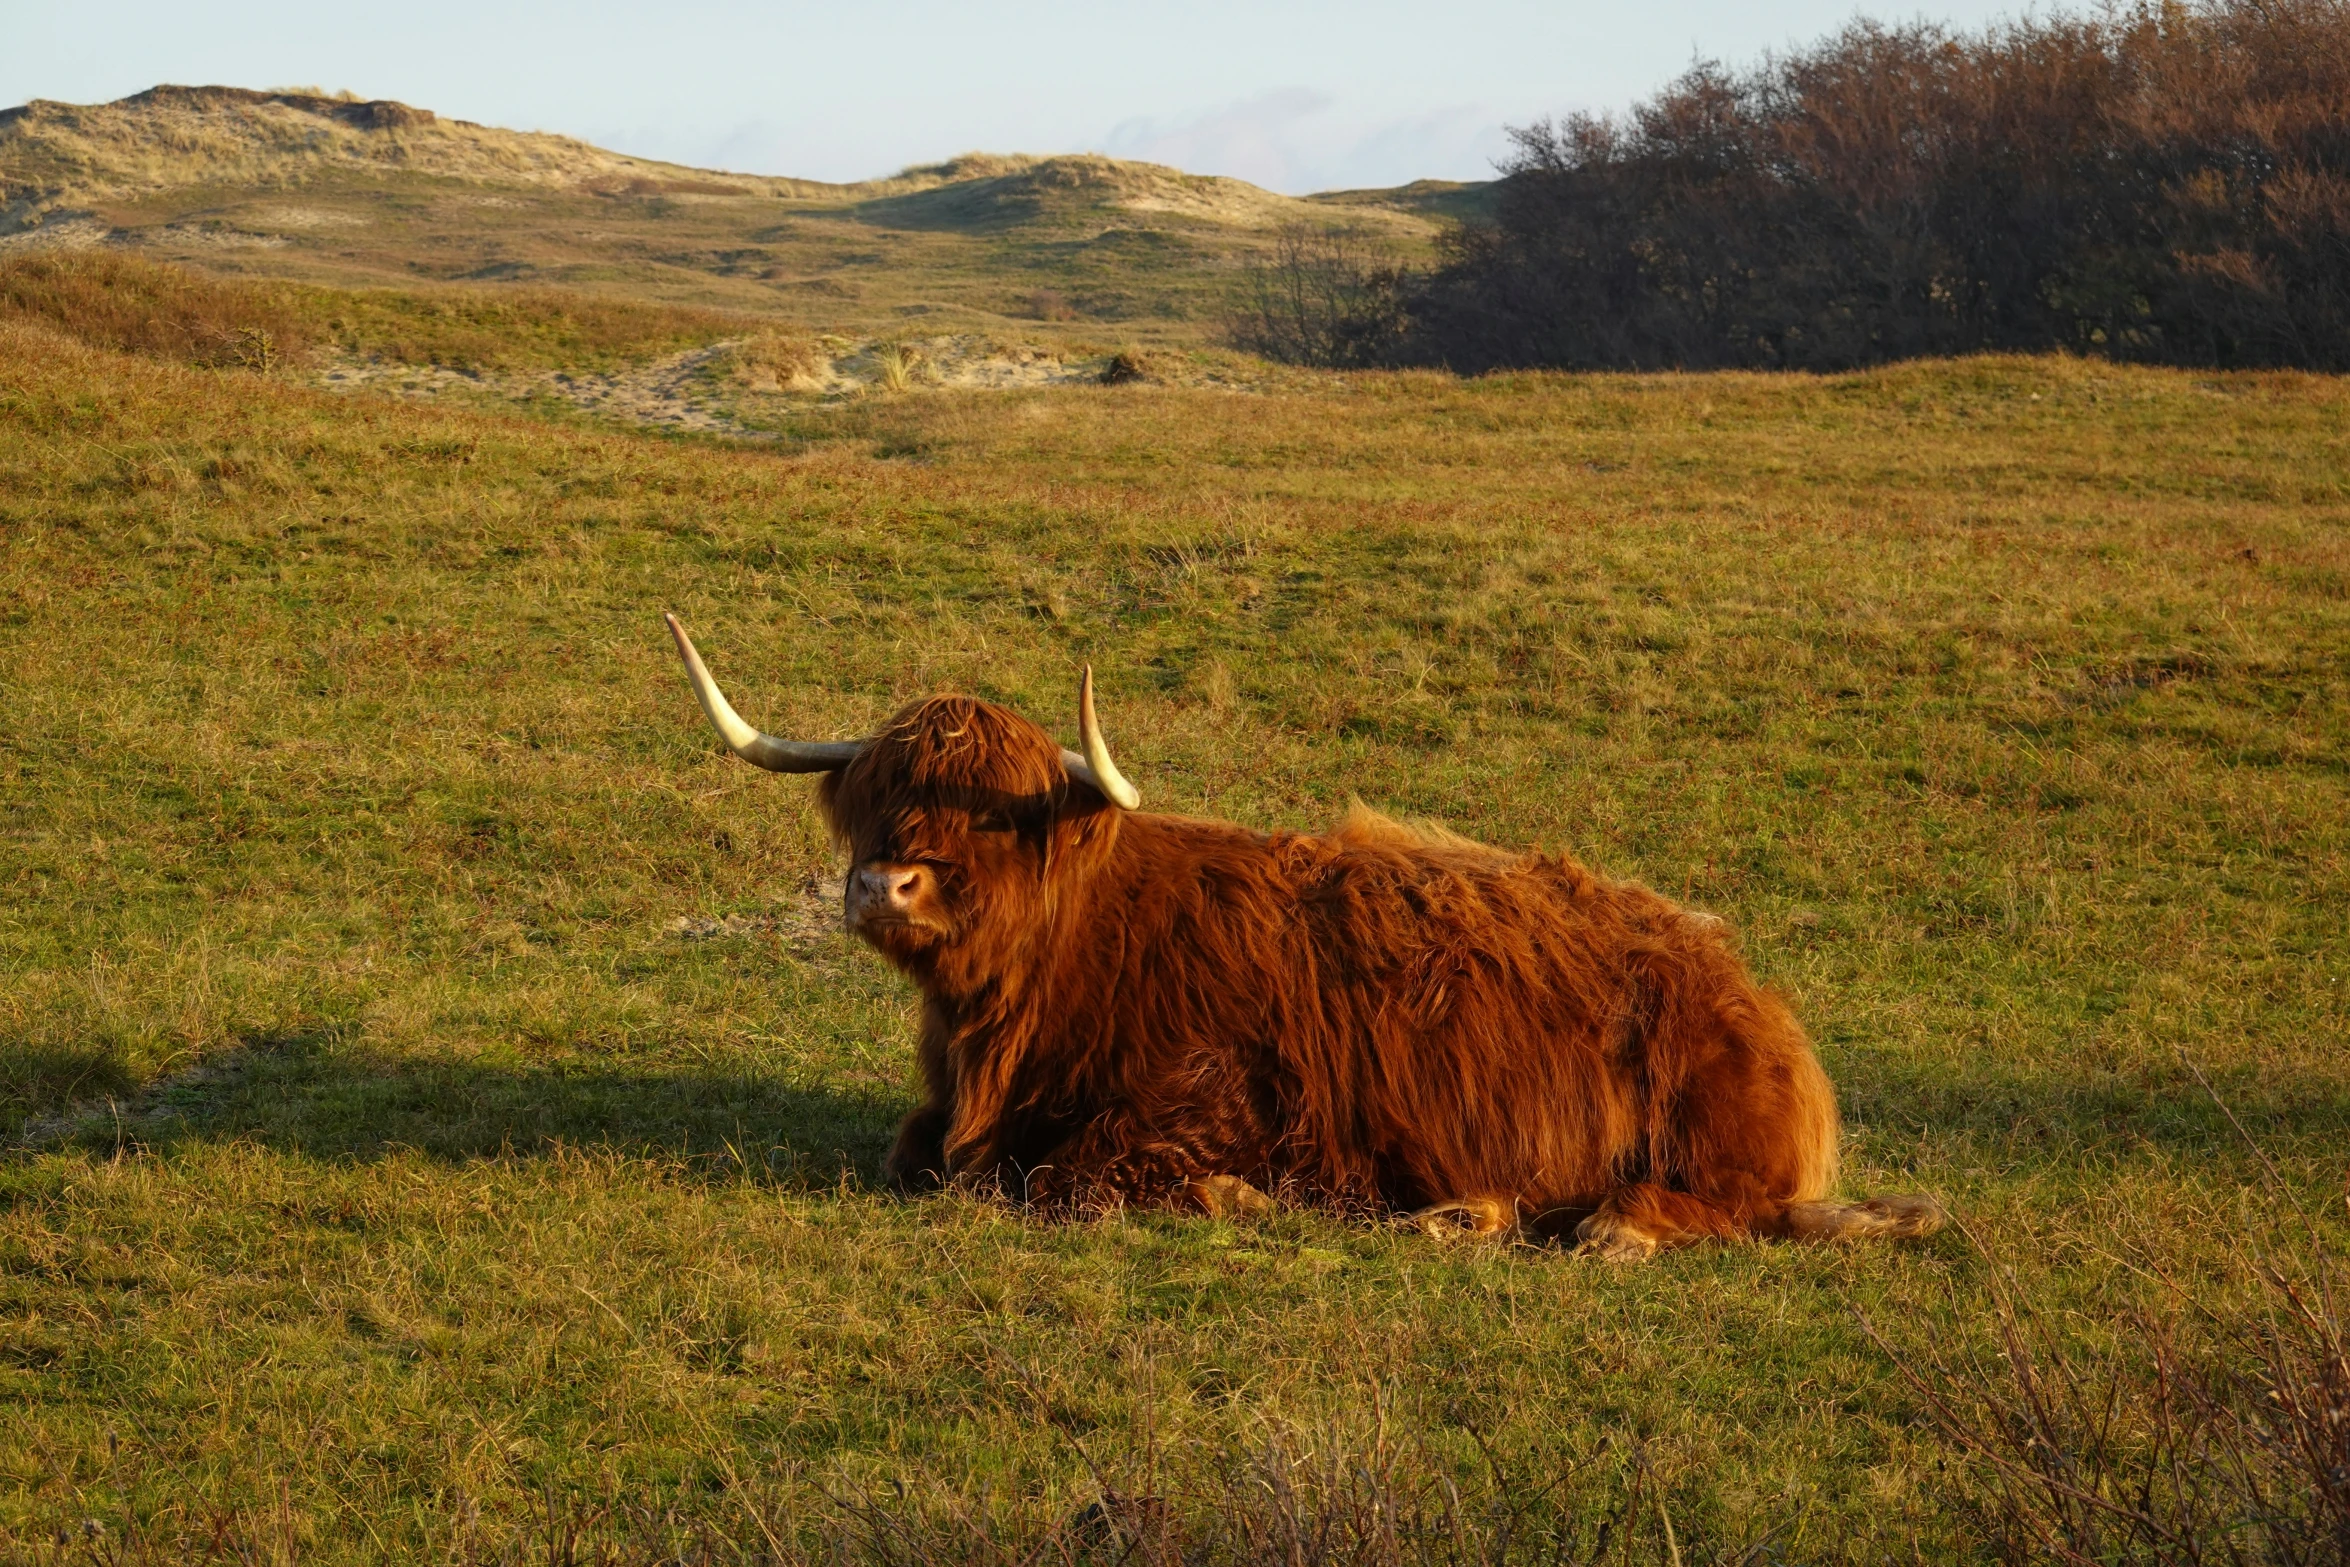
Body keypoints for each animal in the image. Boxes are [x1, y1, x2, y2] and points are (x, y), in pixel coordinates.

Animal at [667, 615, 1945, 1259]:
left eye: (987, 813)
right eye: (876, 795)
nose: (882, 885)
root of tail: (1747, 993)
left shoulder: (1220, 1099)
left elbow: (1064, 1180)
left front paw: (1244, 1200)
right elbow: (914, 1156)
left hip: (1704, 1147)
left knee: (1722, 1207)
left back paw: (1594, 1226)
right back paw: (1461, 1213)